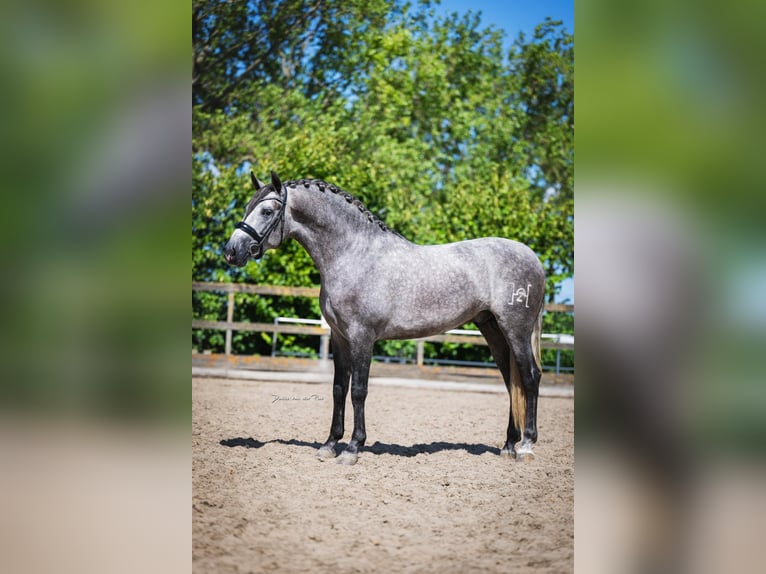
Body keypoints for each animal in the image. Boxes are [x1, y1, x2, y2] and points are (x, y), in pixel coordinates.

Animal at [224, 171, 546, 465]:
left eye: (267, 211)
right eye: (246, 207)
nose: (231, 252)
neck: (353, 255)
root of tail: (533, 258)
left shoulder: (362, 337)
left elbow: (358, 391)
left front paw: (353, 448)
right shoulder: (339, 337)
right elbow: (338, 388)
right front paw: (329, 444)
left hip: (515, 330)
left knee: (529, 377)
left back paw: (527, 446)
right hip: (492, 329)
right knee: (511, 382)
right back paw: (508, 445)